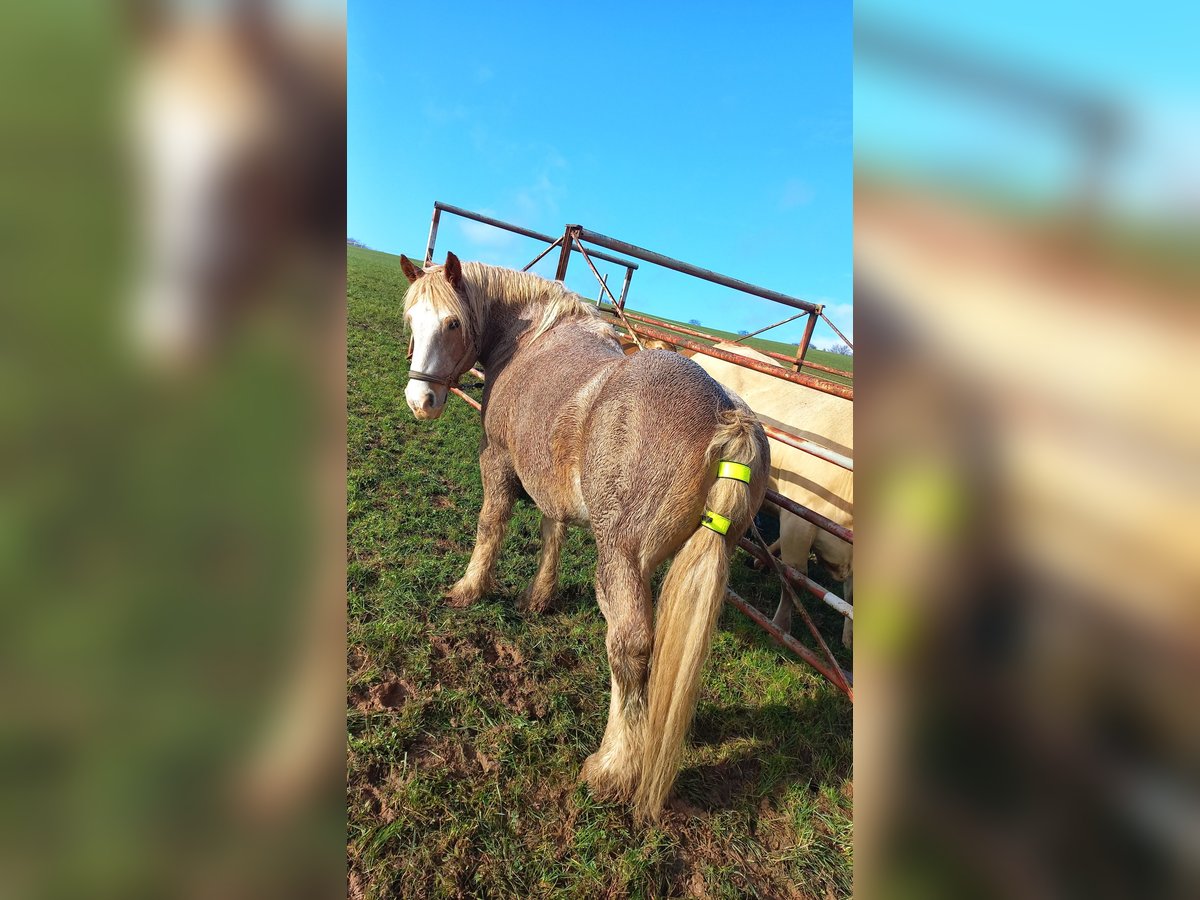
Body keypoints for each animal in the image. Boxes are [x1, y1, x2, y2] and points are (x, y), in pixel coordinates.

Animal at [396, 250, 768, 820]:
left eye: (453, 323)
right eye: (411, 321)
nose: (421, 400)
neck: (529, 339)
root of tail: (728, 417)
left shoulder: (497, 459)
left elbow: (491, 525)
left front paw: (468, 589)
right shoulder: (549, 478)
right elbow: (552, 532)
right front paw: (538, 597)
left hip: (621, 561)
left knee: (629, 648)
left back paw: (613, 768)